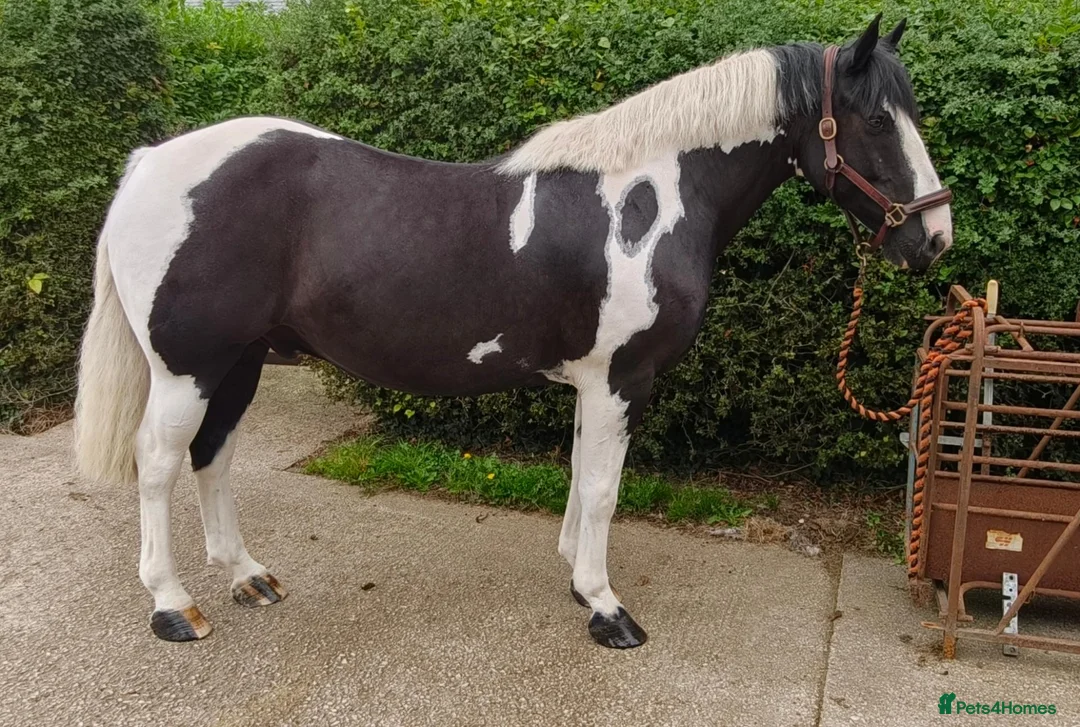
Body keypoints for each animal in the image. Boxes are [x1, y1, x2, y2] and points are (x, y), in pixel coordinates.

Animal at [73, 15, 952, 648]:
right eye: (876, 120)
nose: (935, 239)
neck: (650, 197)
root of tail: (150, 163)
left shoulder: (593, 381)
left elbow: (580, 476)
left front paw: (576, 576)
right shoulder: (621, 379)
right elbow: (602, 489)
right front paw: (606, 608)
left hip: (240, 360)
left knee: (213, 454)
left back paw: (247, 576)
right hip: (189, 366)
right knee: (159, 462)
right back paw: (173, 606)